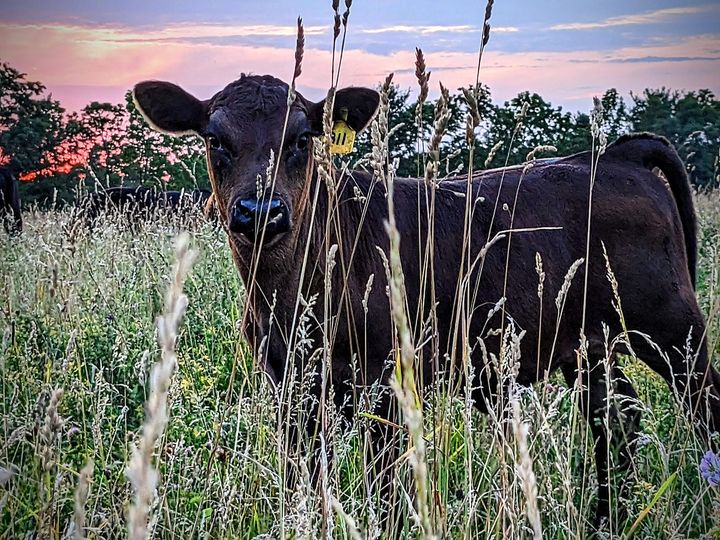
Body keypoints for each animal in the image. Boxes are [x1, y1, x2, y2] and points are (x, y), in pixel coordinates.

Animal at [132, 74, 716, 528]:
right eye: (215, 140)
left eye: (300, 139)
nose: (261, 211)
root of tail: (612, 155)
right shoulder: (289, 388)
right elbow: (306, 485)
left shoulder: (386, 381)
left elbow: (386, 490)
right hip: (588, 344)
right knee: (616, 419)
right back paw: (606, 520)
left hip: (674, 329)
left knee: (700, 405)